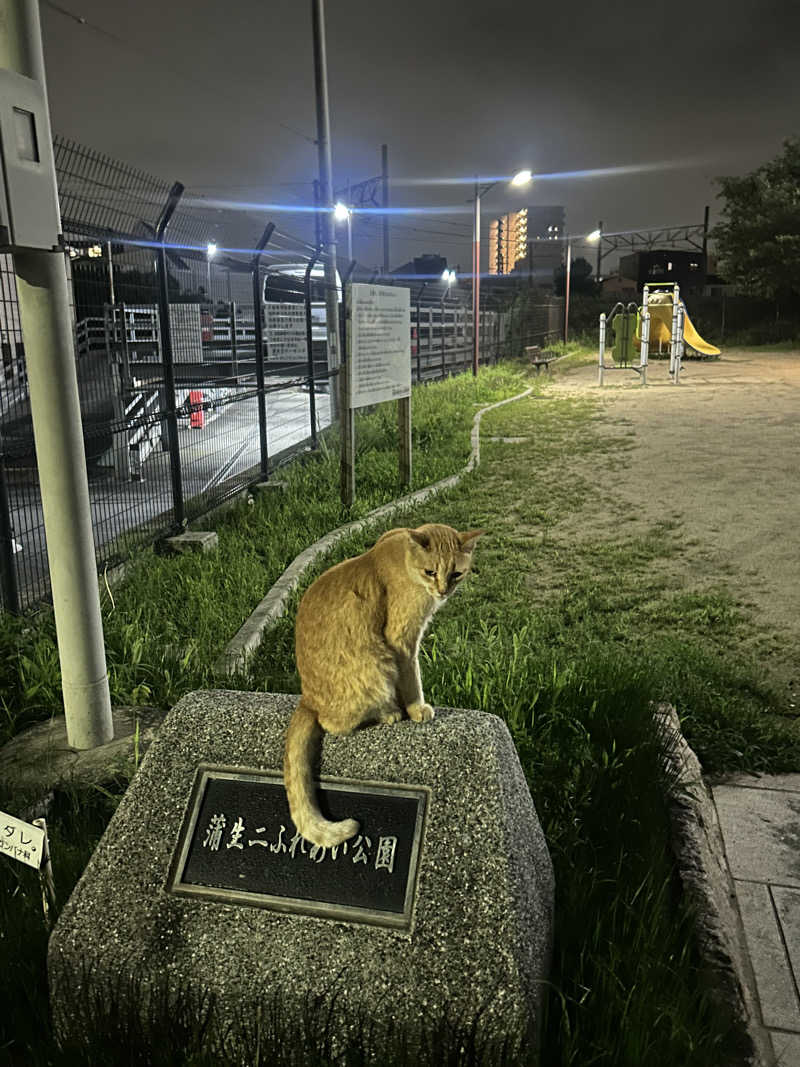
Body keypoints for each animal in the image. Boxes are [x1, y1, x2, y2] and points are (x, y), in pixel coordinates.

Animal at [283, 520, 482, 845]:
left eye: (456, 573)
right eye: (431, 572)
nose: (442, 591)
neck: (404, 558)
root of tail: (306, 699)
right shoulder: (402, 641)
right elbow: (412, 680)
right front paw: (416, 709)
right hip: (377, 666)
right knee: (334, 724)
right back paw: (389, 713)